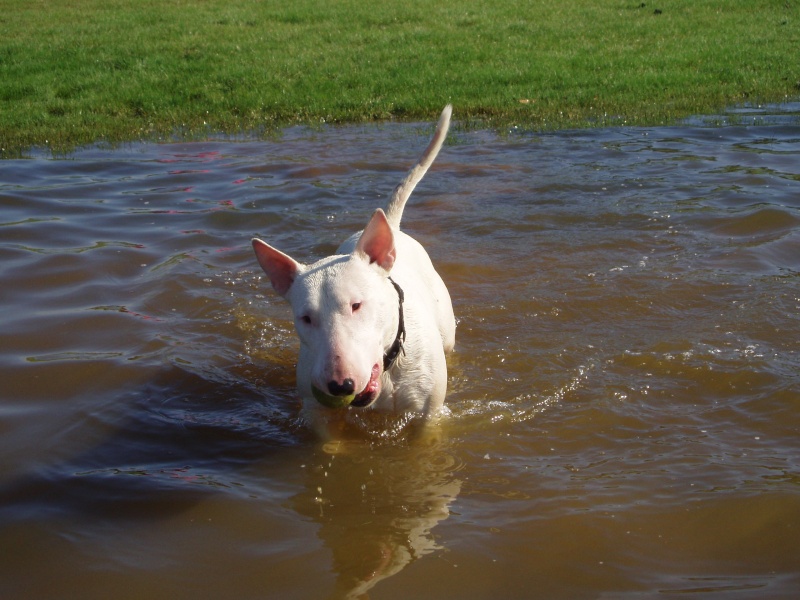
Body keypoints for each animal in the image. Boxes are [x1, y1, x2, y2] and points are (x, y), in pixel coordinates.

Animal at [256, 105, 456, 436]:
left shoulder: (429, 416)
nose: (340, 385)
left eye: (357, 305)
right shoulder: (316, 411)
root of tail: (391, 227)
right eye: (306, 318)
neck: (387, 370)